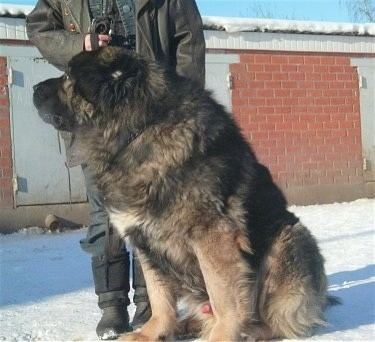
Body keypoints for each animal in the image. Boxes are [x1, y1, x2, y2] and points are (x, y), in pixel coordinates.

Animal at [33, 46, 332, 340]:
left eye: (68, 76)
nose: (34, 88)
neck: (137, 131)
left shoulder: (213, 235)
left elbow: (224, 297)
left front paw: (222, 336)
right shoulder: (144, 241)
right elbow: (158, 295)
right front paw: (152, 332)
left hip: (289, 241)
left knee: (274, 318)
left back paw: (249, 330)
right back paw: (188, 324)